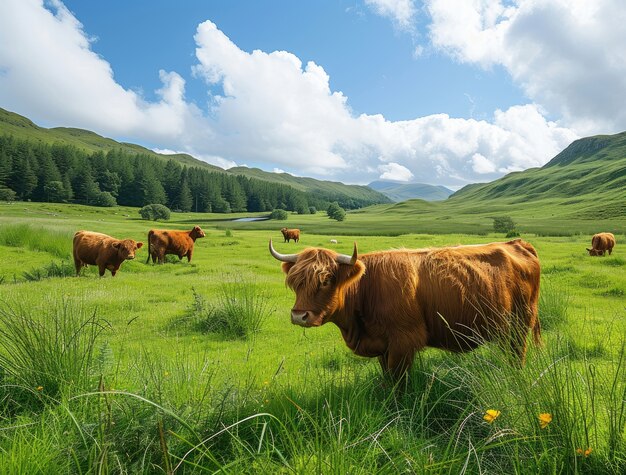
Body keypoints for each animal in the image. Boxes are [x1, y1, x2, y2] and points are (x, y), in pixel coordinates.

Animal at [270, 240, 540, 382]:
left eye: (326, 280)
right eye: (295, 282)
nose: (299, 316)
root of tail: (516, 242)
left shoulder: (404, 341)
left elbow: (398, 382)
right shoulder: (382, 344)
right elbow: (387, 378)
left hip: (519, 324)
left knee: (518, 354)